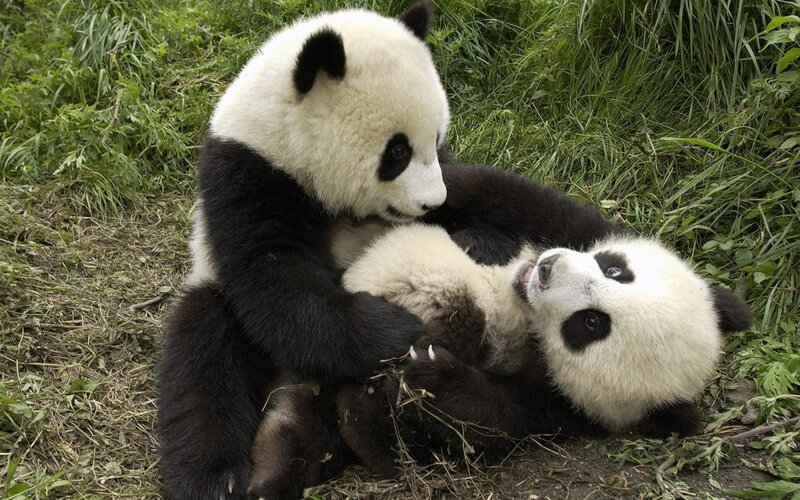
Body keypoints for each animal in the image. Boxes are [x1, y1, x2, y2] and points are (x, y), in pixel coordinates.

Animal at [157, 3, 452, 498]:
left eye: (436, 139)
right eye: (397, 151)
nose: (434, 203)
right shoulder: (248, 177)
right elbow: (274, 283)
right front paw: (394, 328)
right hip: (212, 298)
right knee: (202, 359)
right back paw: (218, 477)